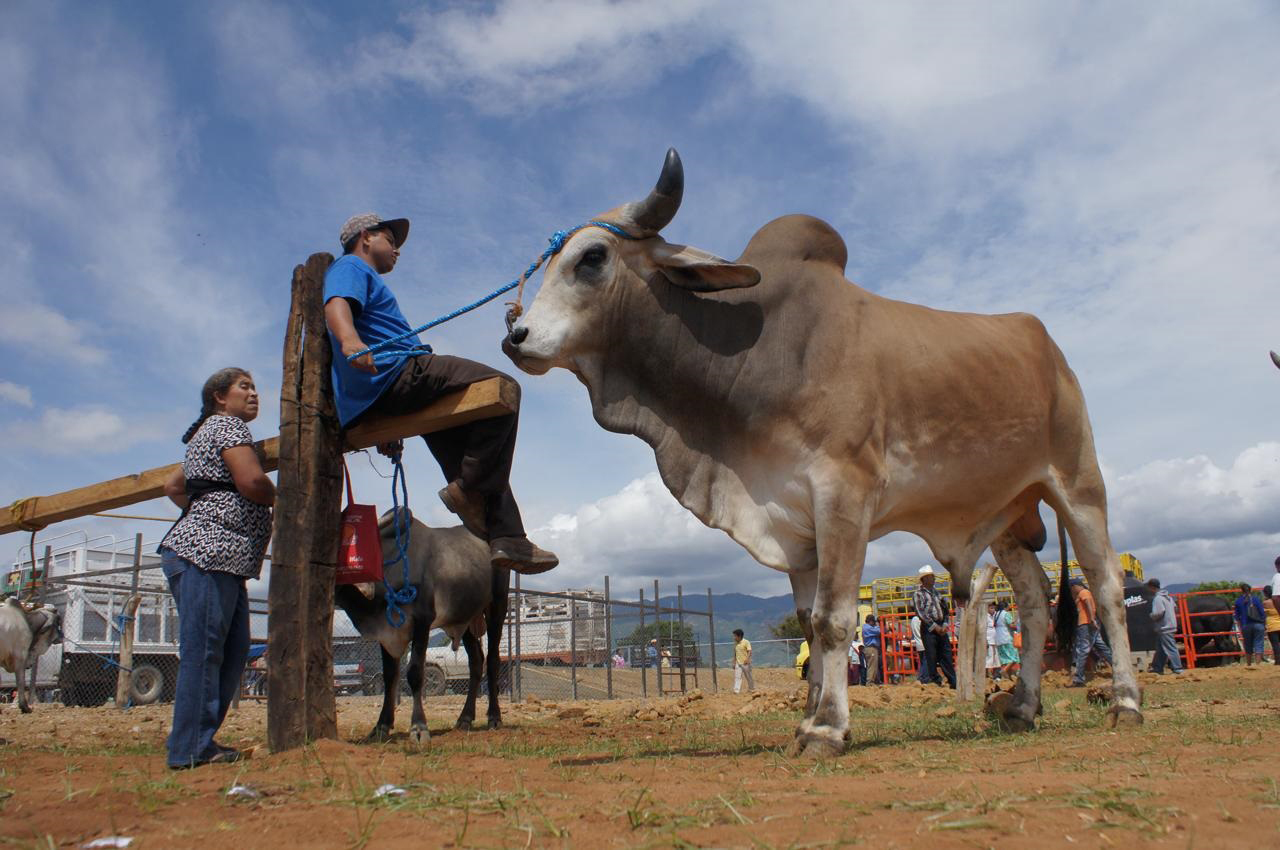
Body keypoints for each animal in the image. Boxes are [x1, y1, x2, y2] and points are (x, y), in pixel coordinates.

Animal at [334, 511, 510, 743]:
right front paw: (381, 726)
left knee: (492, 661)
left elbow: (415, 673)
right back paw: (464, 718)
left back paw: (494, 718)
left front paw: (419, 727)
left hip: (497, 606)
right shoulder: (387, 632)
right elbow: (390, 676)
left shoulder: (422, 622)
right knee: (476, 662)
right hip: (465, 620)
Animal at [503, 149, 1143, 756]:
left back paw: (1126, 703)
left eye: (592, 257)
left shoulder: (843, 492)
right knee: (1035, 599)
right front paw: (808, 720)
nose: (516, 337)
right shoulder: (794, 521)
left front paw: (827, 730)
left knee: (1107, 584)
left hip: (1078, 484)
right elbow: (810, 625)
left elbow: (835, 621)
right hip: (1007, 510)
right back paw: (1023, 706)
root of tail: (1050, 349)